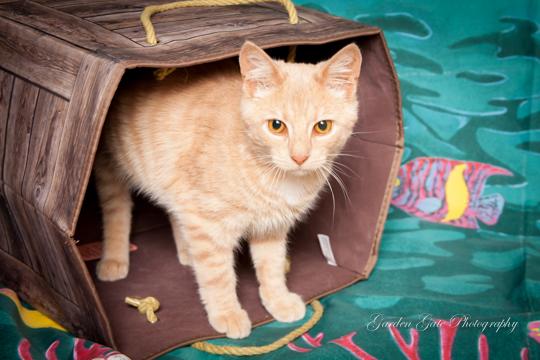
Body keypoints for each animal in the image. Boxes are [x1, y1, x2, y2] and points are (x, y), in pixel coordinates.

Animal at [94, 41, 360, 338]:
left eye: (322, 126)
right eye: (276, 126)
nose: (299, 157)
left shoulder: (271, 227)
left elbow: (272, 266)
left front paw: (277, 299)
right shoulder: (207, 226)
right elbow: (217, 274)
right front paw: (227, 313)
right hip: (109, 165)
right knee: (115, 209)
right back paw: (114, 259)